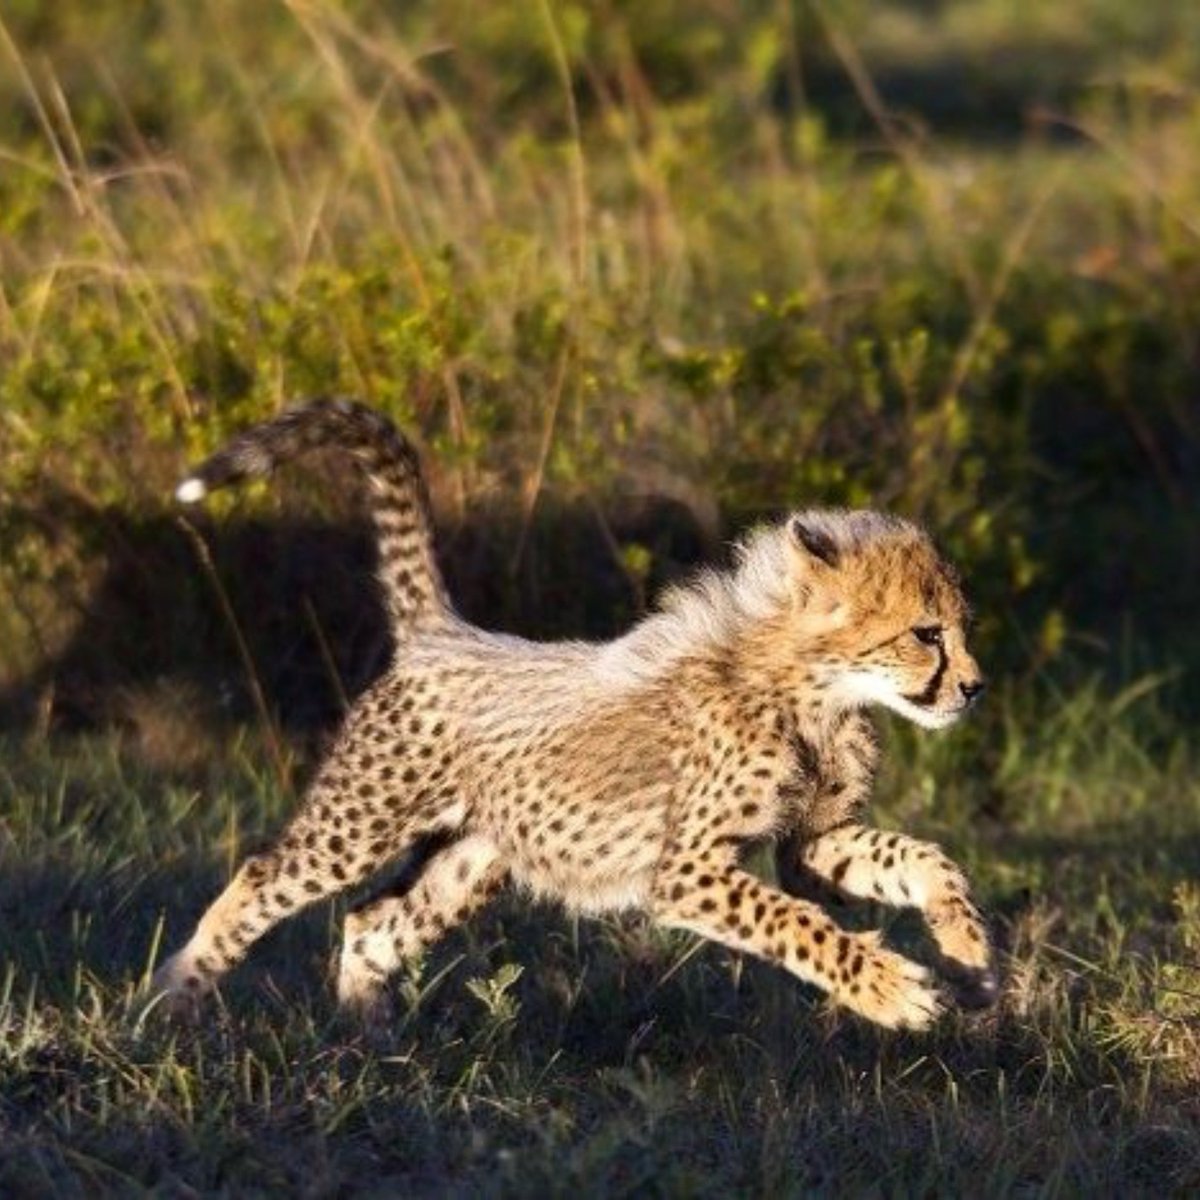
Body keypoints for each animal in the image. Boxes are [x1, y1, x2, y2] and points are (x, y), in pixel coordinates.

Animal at [150, 399, 998, 1032]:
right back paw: (172, 1006)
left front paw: (971, 950)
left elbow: (920, 859)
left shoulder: (810, 842)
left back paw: (371, 1041)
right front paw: (889, 988)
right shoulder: (686, 871)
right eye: (927, 634)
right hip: (359, 824)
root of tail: (444, 630)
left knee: (370, 924)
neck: (817, 694)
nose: (974, 688)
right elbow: (798, 924)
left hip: (470, 861)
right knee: (260, 879)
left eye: (961, 629)